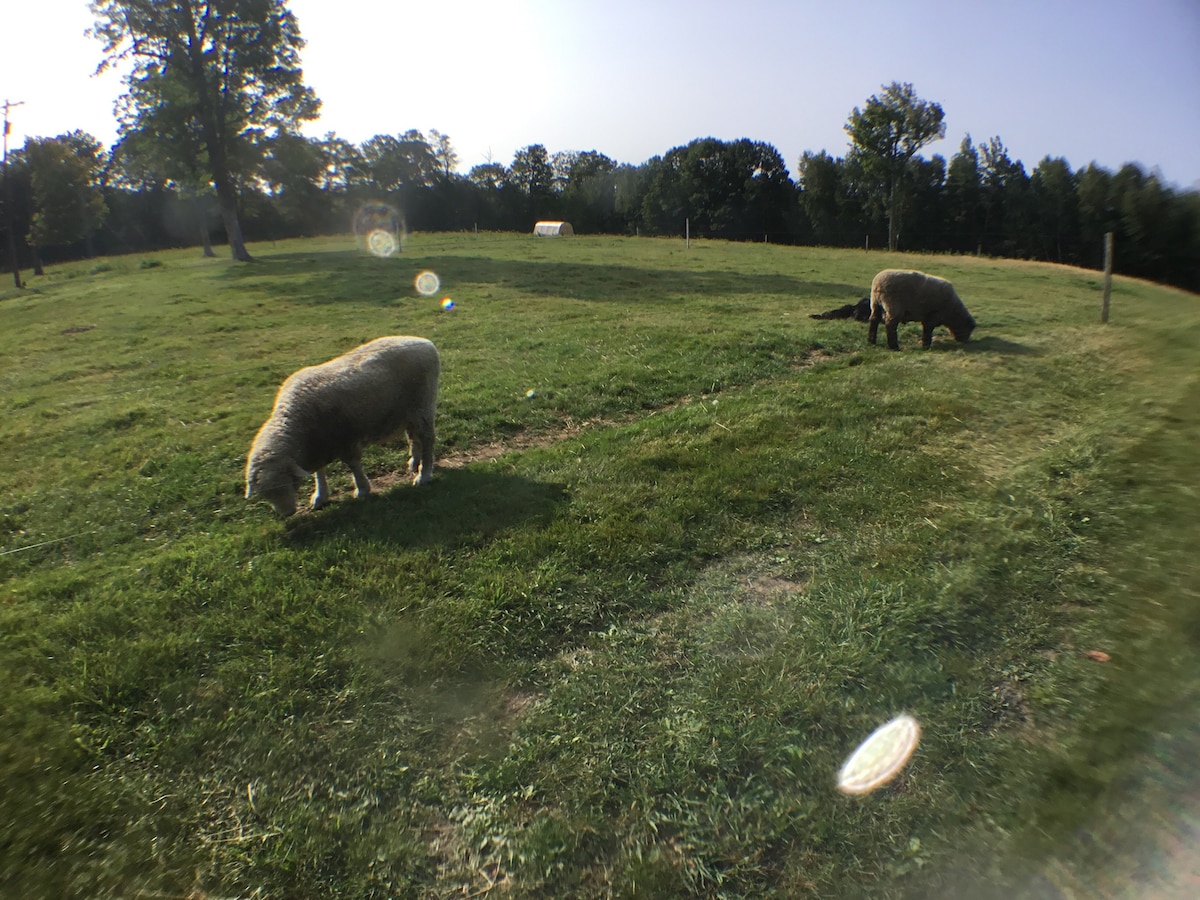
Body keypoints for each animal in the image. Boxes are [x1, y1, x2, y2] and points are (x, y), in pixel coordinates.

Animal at [244, 336, 441, 518]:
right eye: (265, 495)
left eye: (287, 482)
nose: (287, 513)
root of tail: (425, 342)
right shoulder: (317, 446)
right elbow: (319, 472)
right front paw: (320, 496)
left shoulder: (346, 439)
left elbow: (353, 465)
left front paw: (362, 489)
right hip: (407, 412)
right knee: (413, 437)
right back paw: (414, 462)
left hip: (422, 404)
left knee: (427, 439)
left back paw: (424, 474)